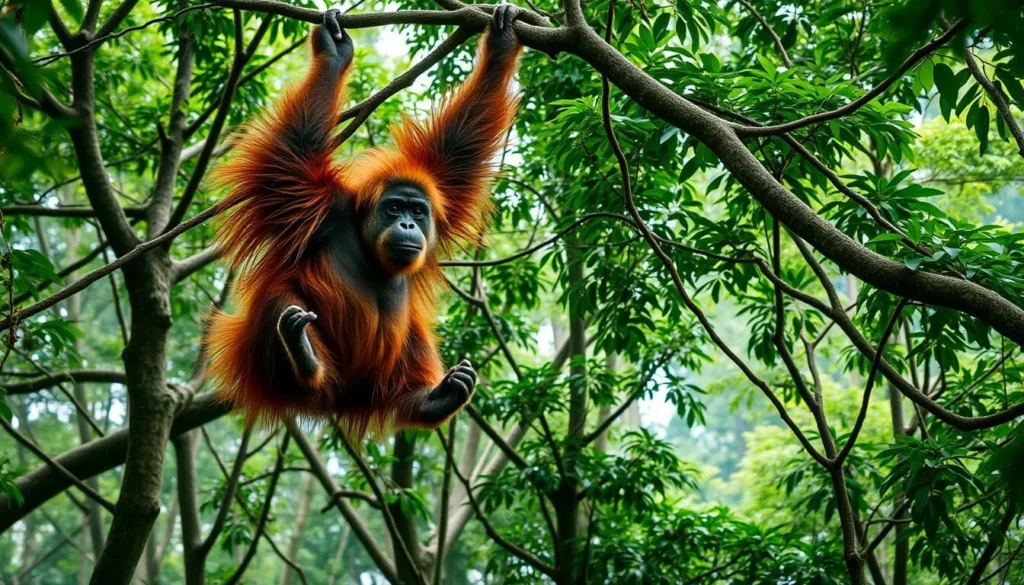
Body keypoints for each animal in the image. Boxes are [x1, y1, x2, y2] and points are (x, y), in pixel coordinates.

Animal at [204, 5, 524, 439]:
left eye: (417, 211)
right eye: (393, 209)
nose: (407, 225)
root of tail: (337, 400)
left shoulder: (442, 189)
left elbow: (461, 145)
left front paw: (502, 45)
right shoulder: (315, 204)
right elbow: (294, 146)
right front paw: (333, 55)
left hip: (373, 385)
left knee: (411, 335)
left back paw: (431, 400)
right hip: (259, 362)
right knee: (280, 301)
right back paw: (305, 357)